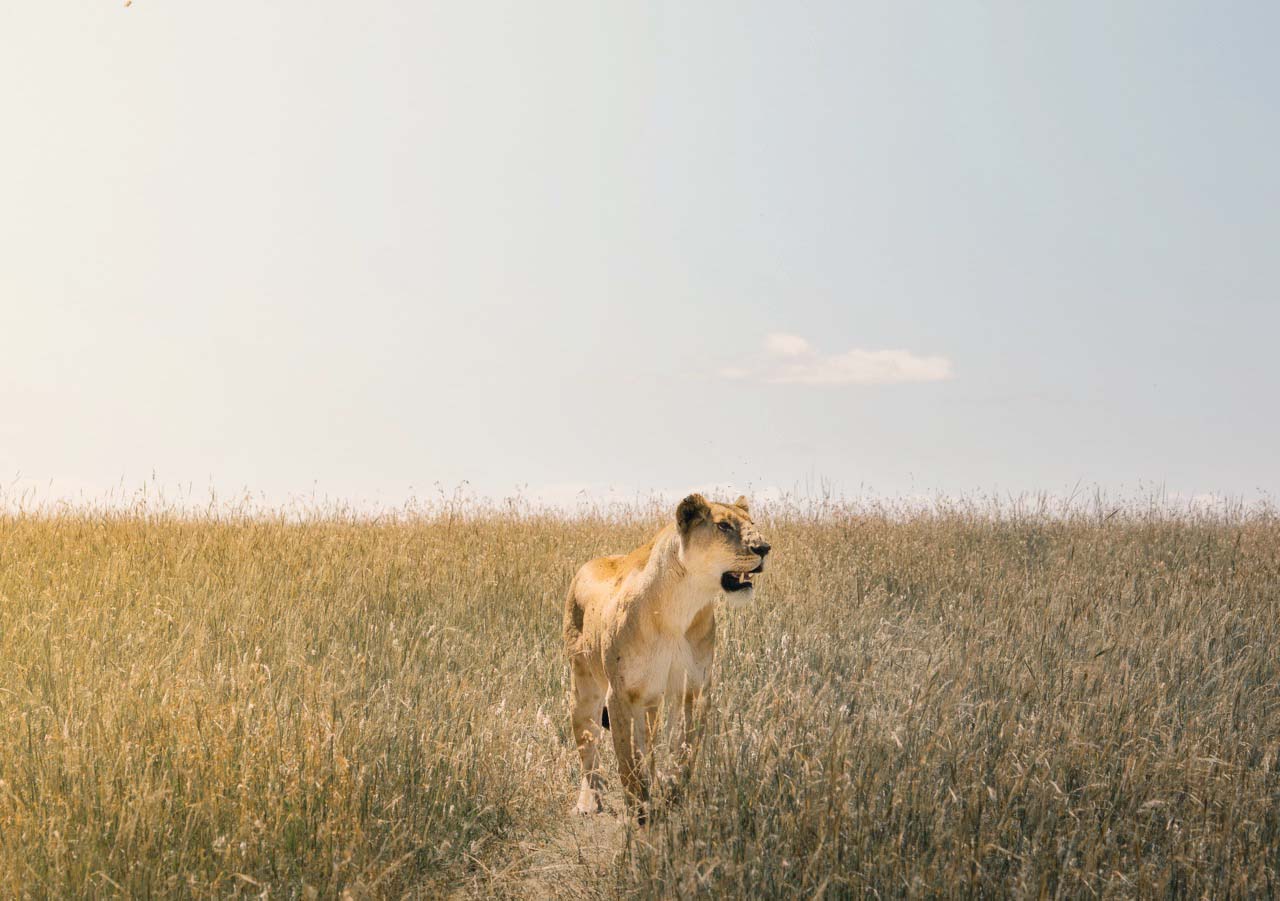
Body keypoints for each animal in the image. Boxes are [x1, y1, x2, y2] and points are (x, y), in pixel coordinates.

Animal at [562, 493, 771, 823]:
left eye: (753, 523)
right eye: (724, 526)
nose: (764, 548)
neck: (682, 603)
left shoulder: (692, 688)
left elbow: (684, 749)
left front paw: (672, 791)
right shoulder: (622, 694)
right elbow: (629, 760)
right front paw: (640, 812)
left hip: (650, 701)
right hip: (584, 687)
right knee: (588, 746)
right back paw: (588, 801)